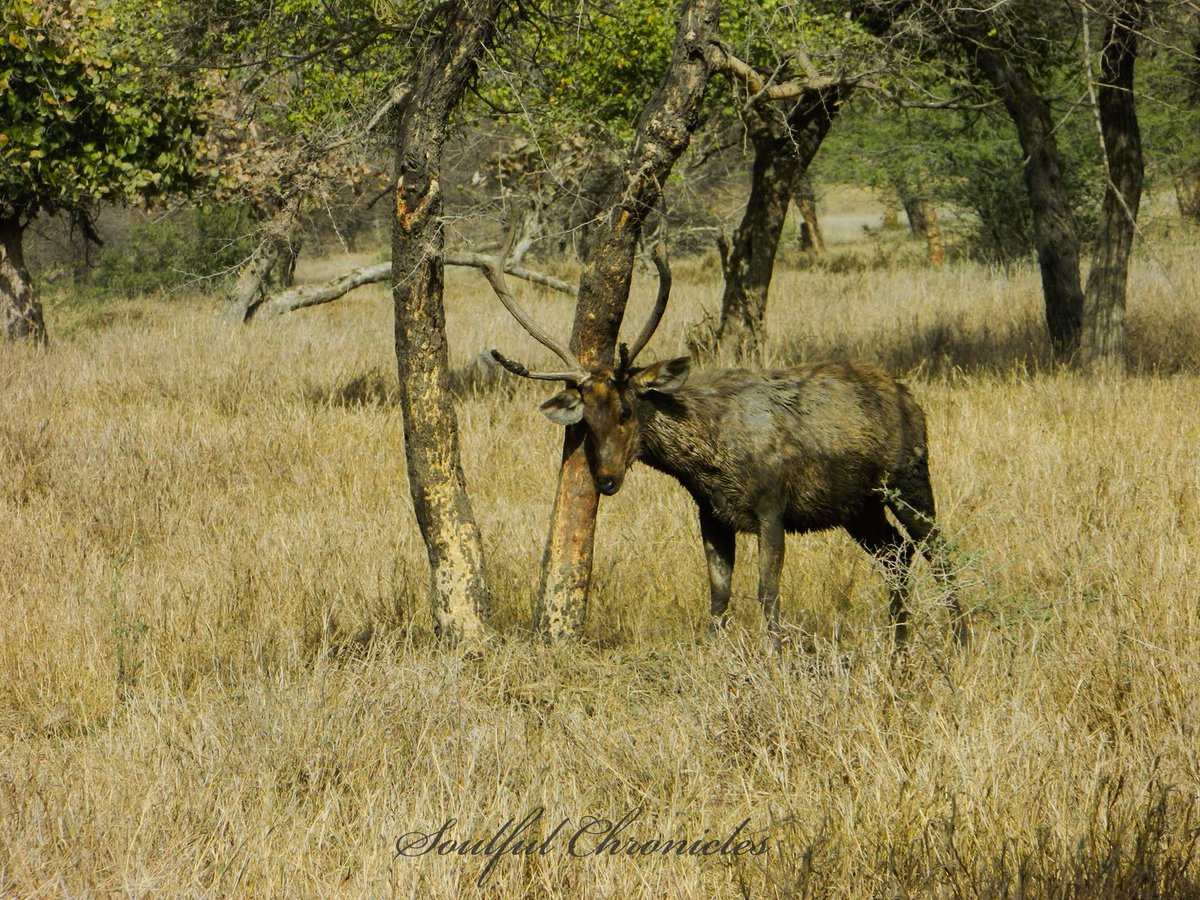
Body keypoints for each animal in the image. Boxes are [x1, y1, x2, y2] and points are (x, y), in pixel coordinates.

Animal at [482, 236, 969, 652]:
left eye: (626, 411)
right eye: (586, 422)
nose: (606, 478)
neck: (707, 462)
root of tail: (913, 401)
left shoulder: (772, 506)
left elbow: (767, 592)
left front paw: (775, 656)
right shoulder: (712, 514)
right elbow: (719, 593)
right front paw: (714, 654)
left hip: (909, 477)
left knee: (938, 547)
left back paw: (960, 638)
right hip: (859, 508)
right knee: (896, 553)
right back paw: (898, 643)